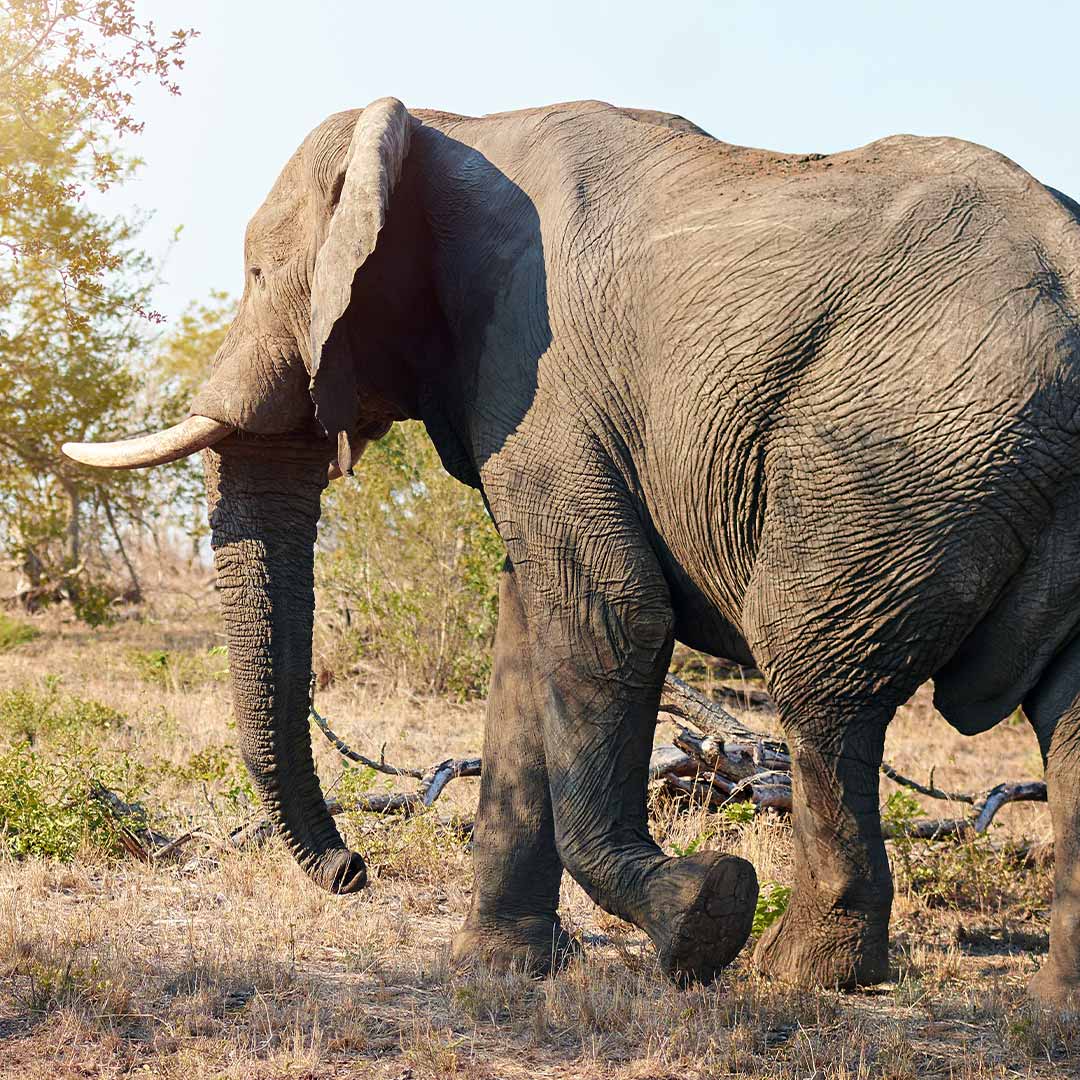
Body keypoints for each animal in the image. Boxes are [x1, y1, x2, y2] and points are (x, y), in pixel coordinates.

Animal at [63, 99, 1080, 1002]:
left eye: (255, 273)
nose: (353, 870)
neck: (450, 127)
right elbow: (527, 637)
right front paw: (501, 970)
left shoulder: (540, 376)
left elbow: (613, 613)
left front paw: (702, 914)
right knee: (1063, 715)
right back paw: (1051, 998)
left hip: (898, 455)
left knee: (818, 679)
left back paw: (796, 973)